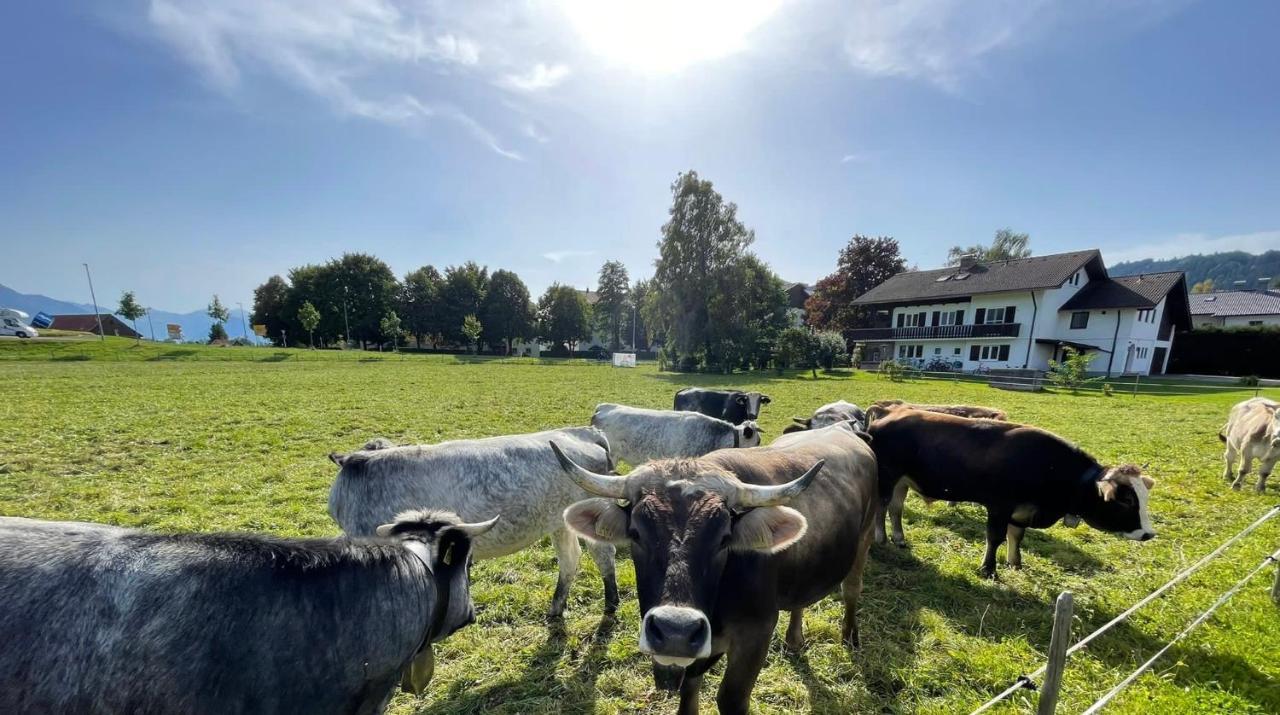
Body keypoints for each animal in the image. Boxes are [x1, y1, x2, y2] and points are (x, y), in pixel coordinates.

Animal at [330, 427, 619, 619]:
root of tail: (583, 431)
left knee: (604, 554)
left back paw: (610, 605)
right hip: (559, 522)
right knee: (570, 559)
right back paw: (556, 609)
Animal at [555, 424, 885, 715]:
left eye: (724, 538)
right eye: (636, 533)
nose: (675, 630)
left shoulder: (756, 634)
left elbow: (730, 699)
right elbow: (688, 694)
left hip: (865, 537)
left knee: (852, 589)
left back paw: (850, 636)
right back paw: (794, 641)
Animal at [870, 406, 1152, 578]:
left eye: (1143, 497)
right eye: (1126, 500)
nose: (1148, 534)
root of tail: (891, 411)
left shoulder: (1022, 511)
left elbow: (1016, 536)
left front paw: (1015, 563)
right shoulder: (999, 506)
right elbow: (995, 537)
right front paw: (988, 569)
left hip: (902, 481)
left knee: (895, 508)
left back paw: (899, 538)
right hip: (887, 477)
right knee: (881, 507)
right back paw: (881, 538)